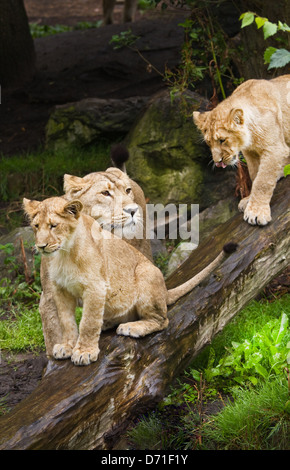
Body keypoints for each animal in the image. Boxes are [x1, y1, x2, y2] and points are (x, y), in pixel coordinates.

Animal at [23, 196, 237, 366]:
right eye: (36, 226)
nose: (41, 246)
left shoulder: (95, 287)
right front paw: (67, 346)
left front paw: (84, 352)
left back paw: (132, 327)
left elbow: (88, 322)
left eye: (53, 225)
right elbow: (66, 322)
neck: (63, 254)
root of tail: (165, 291)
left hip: (146, 272)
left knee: (162, 320)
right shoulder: (60, 290)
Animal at [193, 74, 290, 226]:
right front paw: (249, 200)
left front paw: (256, 212)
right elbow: (255, 175)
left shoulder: (275, 148)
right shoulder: (250, 153)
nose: (217, 162)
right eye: (209, 142)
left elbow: (262, 181)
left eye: (222, 140)